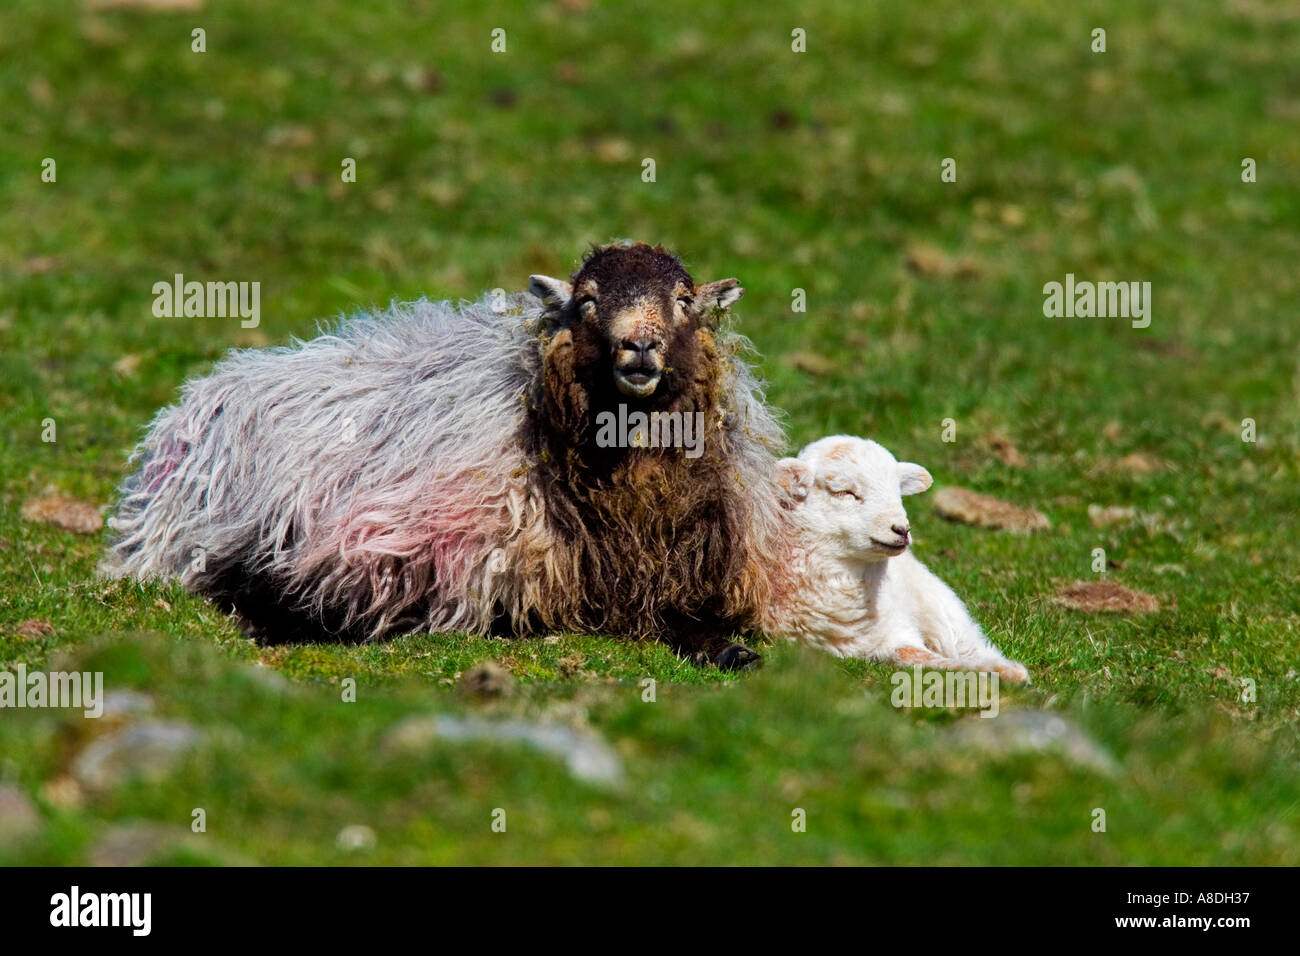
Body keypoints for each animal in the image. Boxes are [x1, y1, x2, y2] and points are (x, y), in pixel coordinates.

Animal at [764, 437, 1029, 686]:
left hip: (939, 605)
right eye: (843, 492)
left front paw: (1004, 671)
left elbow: (921, 655)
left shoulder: (900, 629)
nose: (902, 530)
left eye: (897, 492)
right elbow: (914, 657)